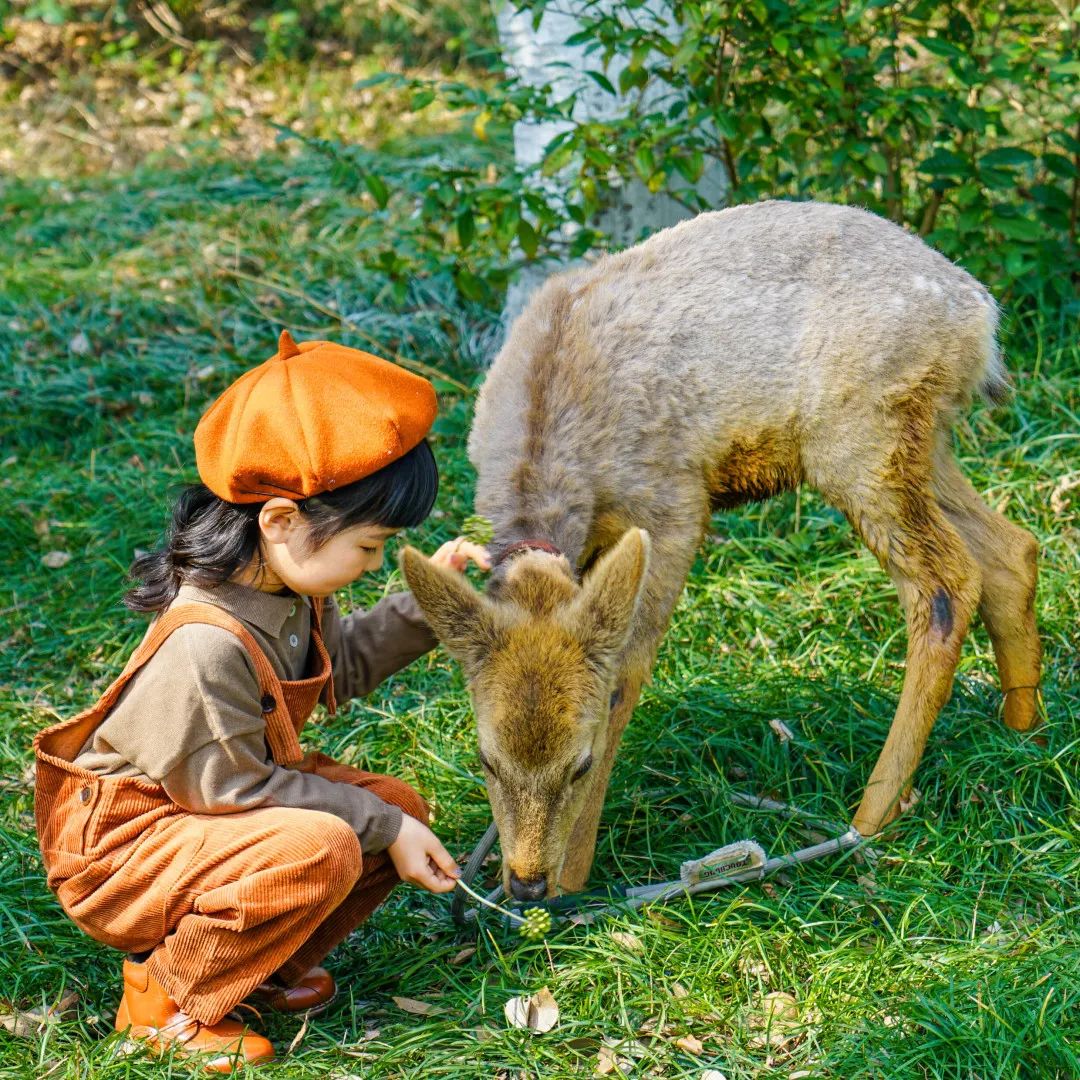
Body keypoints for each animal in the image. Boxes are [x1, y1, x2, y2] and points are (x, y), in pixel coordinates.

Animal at [397, 200, 1036, 902]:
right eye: (485, 757)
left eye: (580, 763)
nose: (526, 883)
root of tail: (980, 315)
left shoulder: (674, 506)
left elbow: (623, 677)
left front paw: (574, 878)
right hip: (919, 443)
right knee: (1010, 548)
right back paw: (1021, 729)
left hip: (862, 436)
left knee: (946, 580)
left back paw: (869, 816)